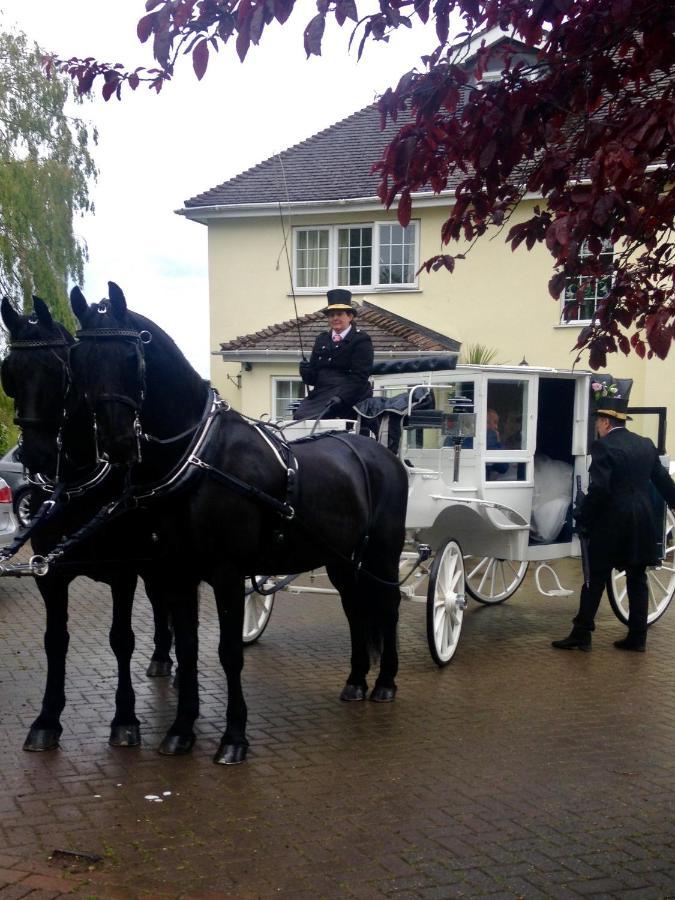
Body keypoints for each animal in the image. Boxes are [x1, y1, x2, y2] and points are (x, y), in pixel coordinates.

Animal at [0, 296, 174, 752]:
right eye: (9, 373)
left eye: (61, 371)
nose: (37, 456)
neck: (78, 488)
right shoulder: (50, 573)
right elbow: (55, 640)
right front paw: (46, 719)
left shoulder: (123, 573)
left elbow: (121, 639)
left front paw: (125, 718)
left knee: (163, 602)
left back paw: (164, 657)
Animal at [67, 284, 406, 768]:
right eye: (77, 360)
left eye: (132, 357)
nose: (117, 445)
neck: (200, 457)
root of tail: (377, 450)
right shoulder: (177, 573)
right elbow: (188, 649)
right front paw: (180, 730)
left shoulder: (226, 574)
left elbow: (228, 653)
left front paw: (234, 737)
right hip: (342, 557)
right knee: (355, 607)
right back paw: (357, 679)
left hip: (383, 550)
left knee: (389, 604)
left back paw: (385, 682)